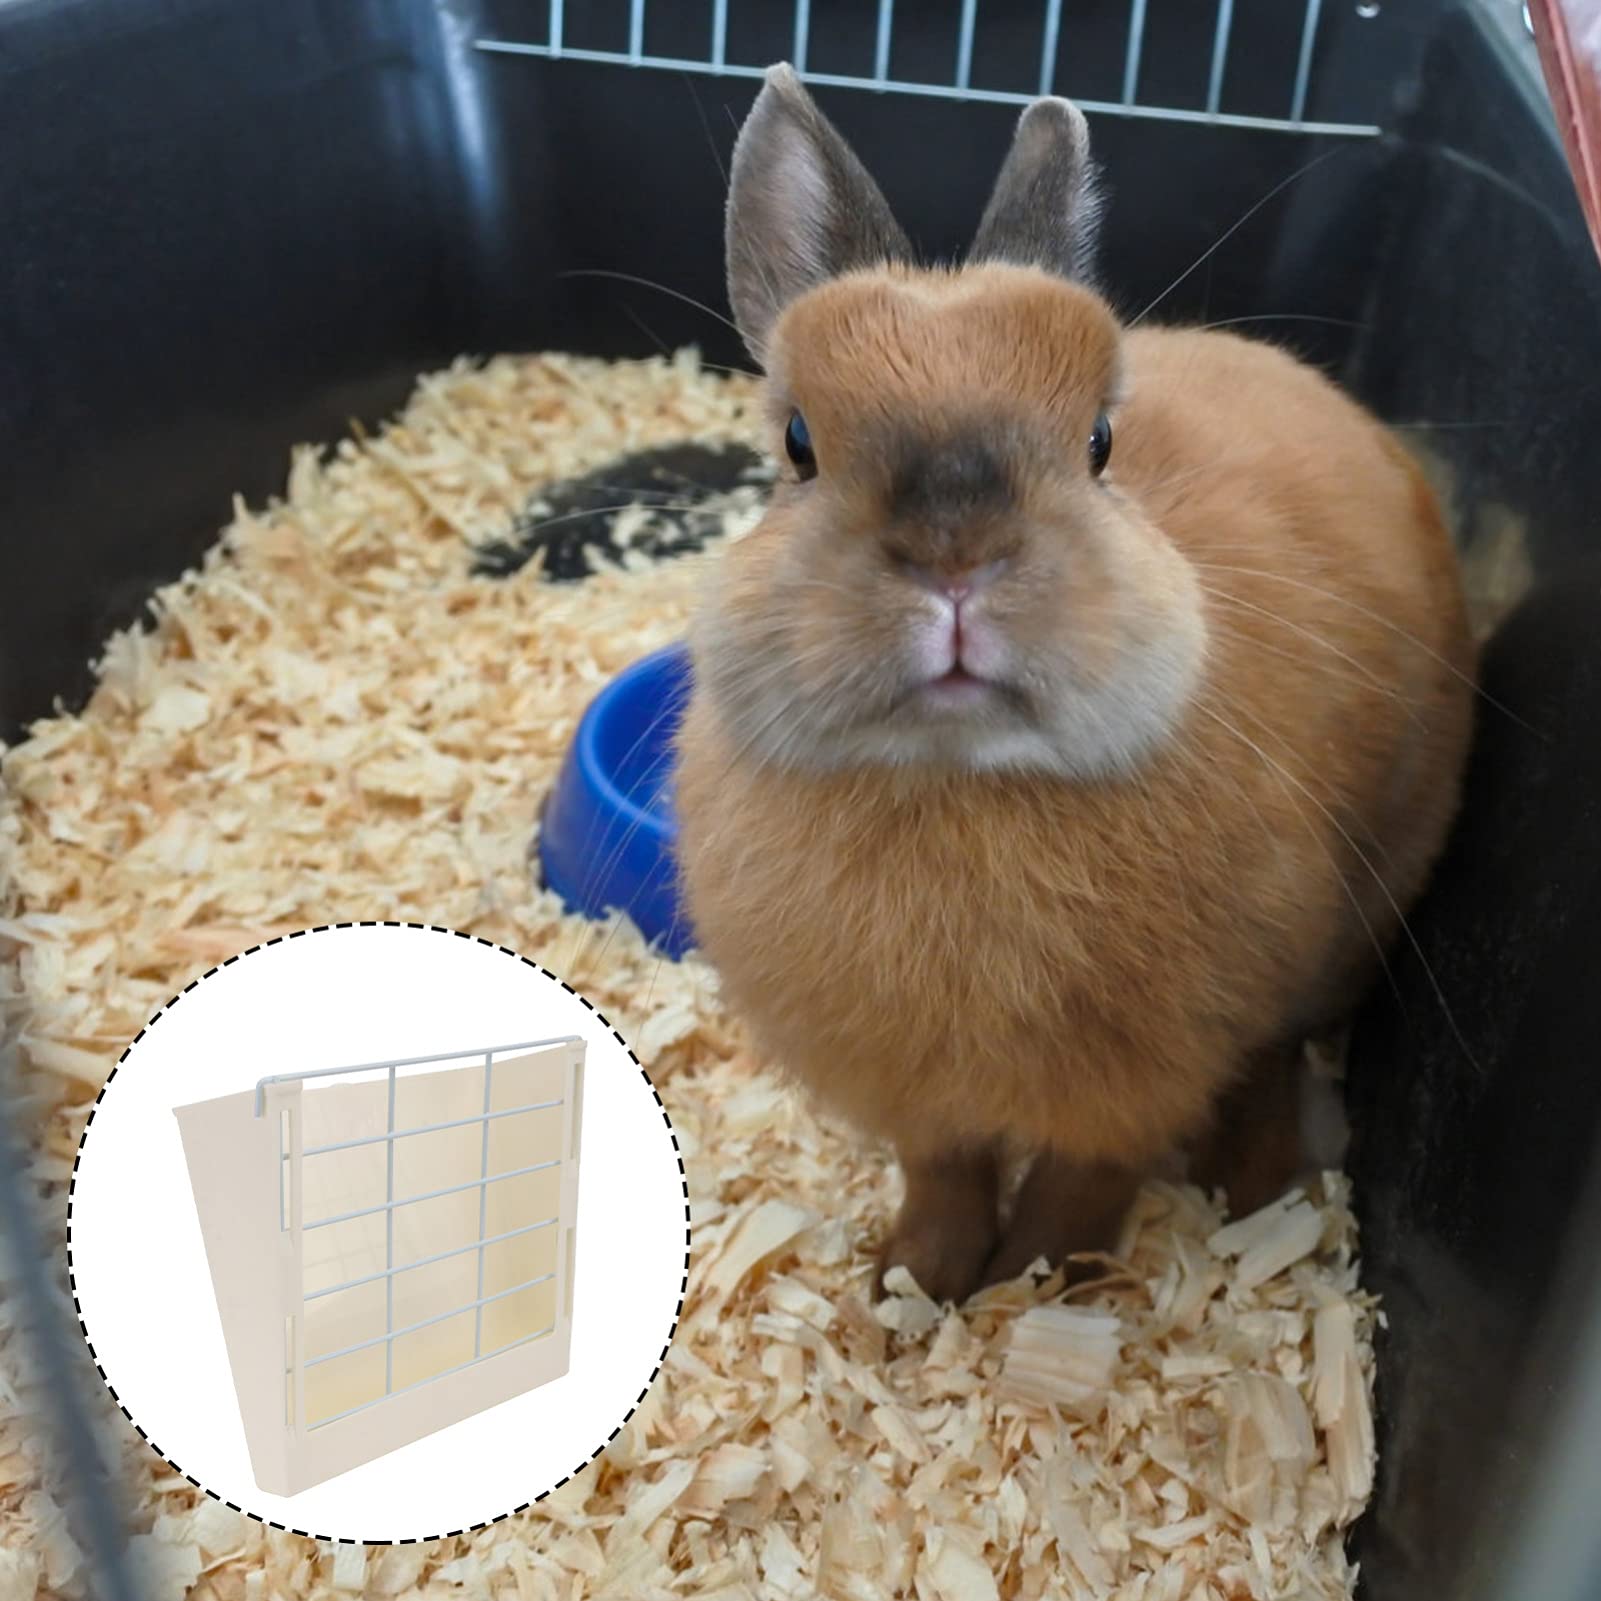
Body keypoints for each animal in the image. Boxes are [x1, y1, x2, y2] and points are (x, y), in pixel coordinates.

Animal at [672, 65, 1475, 1303]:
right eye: (798, 442)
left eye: (1099, 440)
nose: (956, 558)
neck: (955, 782)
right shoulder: (918, 1096)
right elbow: (943, 1176)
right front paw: (909, 1286)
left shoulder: (1136, 1083)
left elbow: (1075, 1191)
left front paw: (1032, 1292)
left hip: (1354, 914)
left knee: (1272, 1058)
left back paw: (1254, 1191)